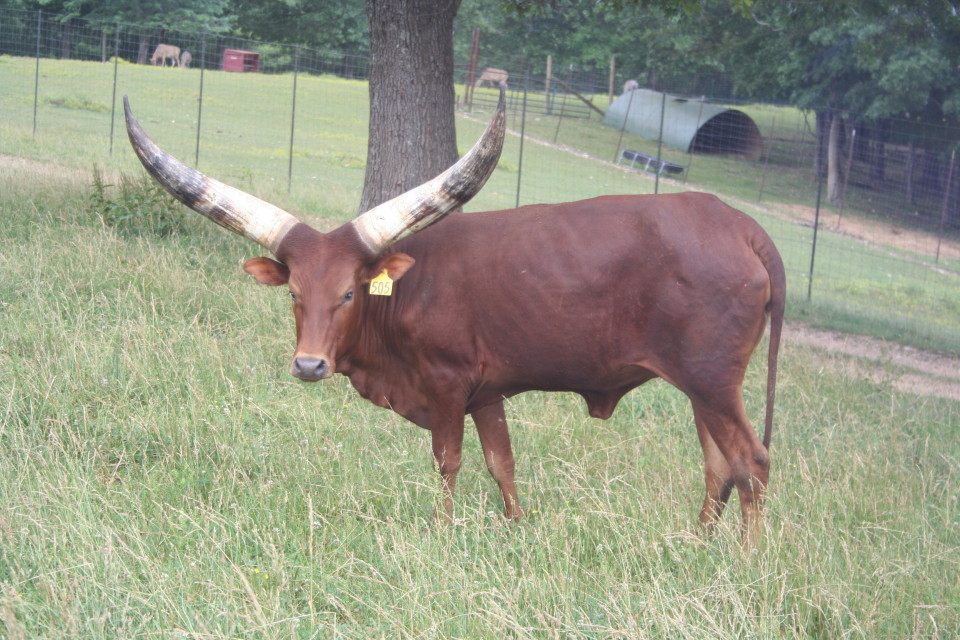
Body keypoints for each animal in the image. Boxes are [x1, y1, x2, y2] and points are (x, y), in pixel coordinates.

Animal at [124, 87, 784, 544]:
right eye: (294, 293)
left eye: (349, 293)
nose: (309, 366)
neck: (403, 292)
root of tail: (740, 226)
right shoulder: (487, 393)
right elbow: (502, 464)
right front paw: (518, 531)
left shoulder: (447, 386)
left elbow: (450, 462)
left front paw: (442, 533)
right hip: (703, 387)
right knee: (718, 466)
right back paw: (696, 544)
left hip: (712, 381)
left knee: (751, 463)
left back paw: (746, 563)